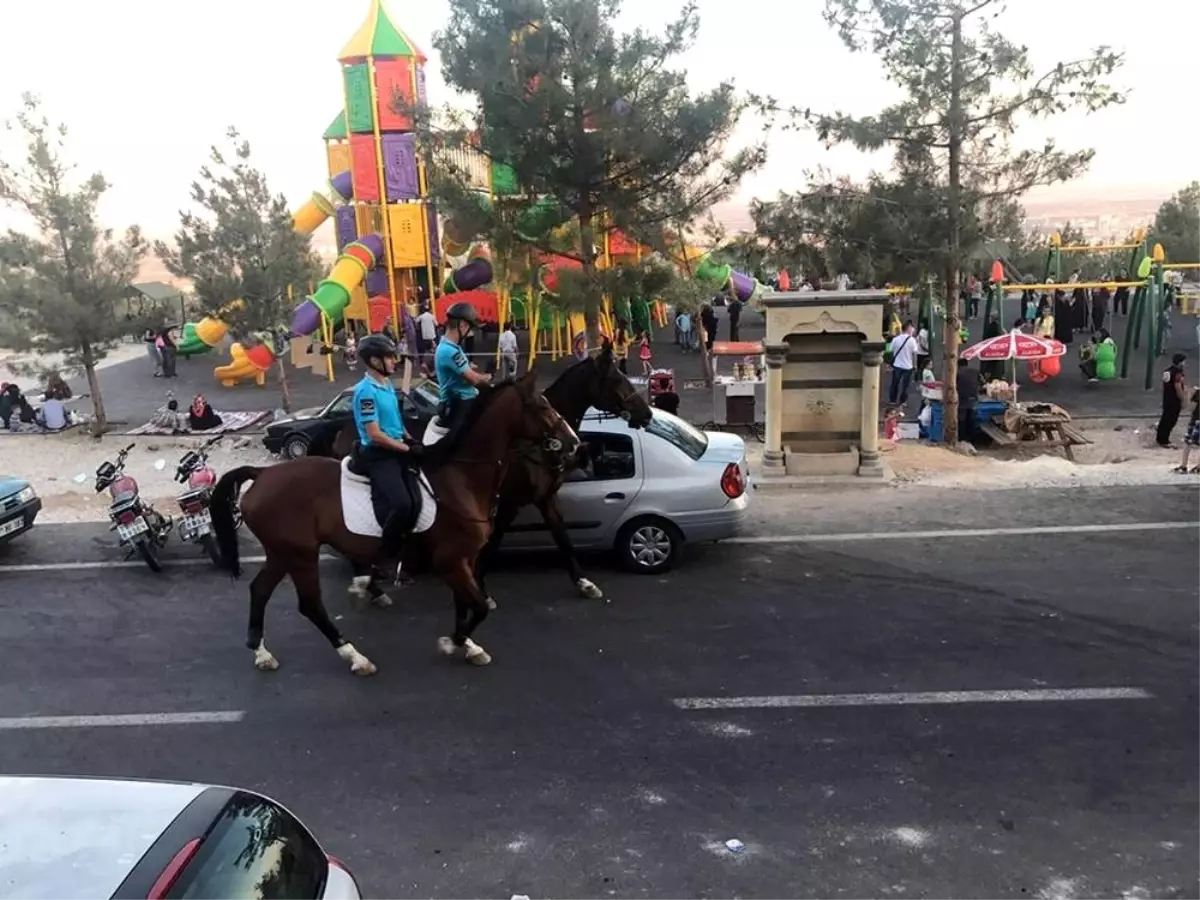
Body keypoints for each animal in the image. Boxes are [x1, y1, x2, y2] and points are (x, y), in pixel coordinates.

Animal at [207, 372, 580, 676]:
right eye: (542, 406)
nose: (574, 442)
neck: (460, 477)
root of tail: (262, 473)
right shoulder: (450, 560)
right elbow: (476, 606)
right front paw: (453, 642)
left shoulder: (465, 559)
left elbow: (466, 604)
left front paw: (468, 646)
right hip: (300, 556)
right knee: (310, 605)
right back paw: (355, 656)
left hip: (282, 553)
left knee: (260, 590)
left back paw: (261, 651)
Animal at [472, 348, 652, 609]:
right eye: (616, 379)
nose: (647, 413)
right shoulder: (510, 501)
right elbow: (493, 541)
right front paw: (480, 588)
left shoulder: (545, 496)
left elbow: (562, 536)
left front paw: (584, 582)